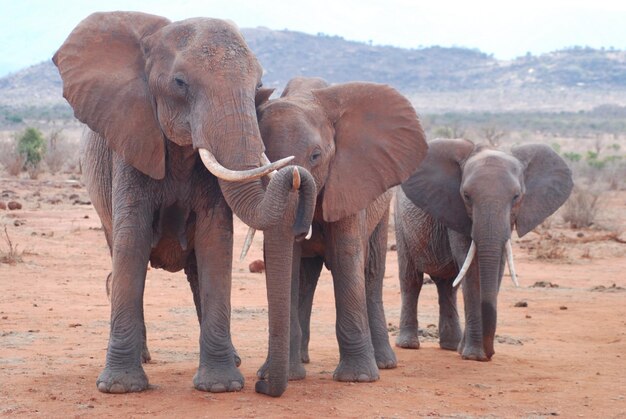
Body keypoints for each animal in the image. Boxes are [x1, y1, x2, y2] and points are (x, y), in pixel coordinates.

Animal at [52, 10, 316, 398]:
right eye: (179, 83)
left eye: (258, 87)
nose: (295, 173)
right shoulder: (132, 140)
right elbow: (131, 241)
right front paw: (120, 388)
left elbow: (215, 241)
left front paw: (220, 386)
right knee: (119, 251)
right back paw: (144, 358)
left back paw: (233, 360)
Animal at [251, 78, 426, 384]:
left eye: (316, 156)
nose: (263, 385)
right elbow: (287, 262)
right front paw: (281, 375)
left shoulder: (350, 181)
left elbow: (347, 258)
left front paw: (358, 378)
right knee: (306, 278)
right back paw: (302, 362)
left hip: (383, 208)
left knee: (371, 273)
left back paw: (384, 363)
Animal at [394, 139, 572, 360]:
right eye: (466, 196)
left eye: (517, 196)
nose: (490, 353)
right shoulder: (457, 212)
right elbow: (471, 269)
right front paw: (474, 356)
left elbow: (497, 268)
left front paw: (467, 352)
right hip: (400, 222)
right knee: (411, 280)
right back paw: (408, 345)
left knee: (447, 287)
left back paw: (451, 346)